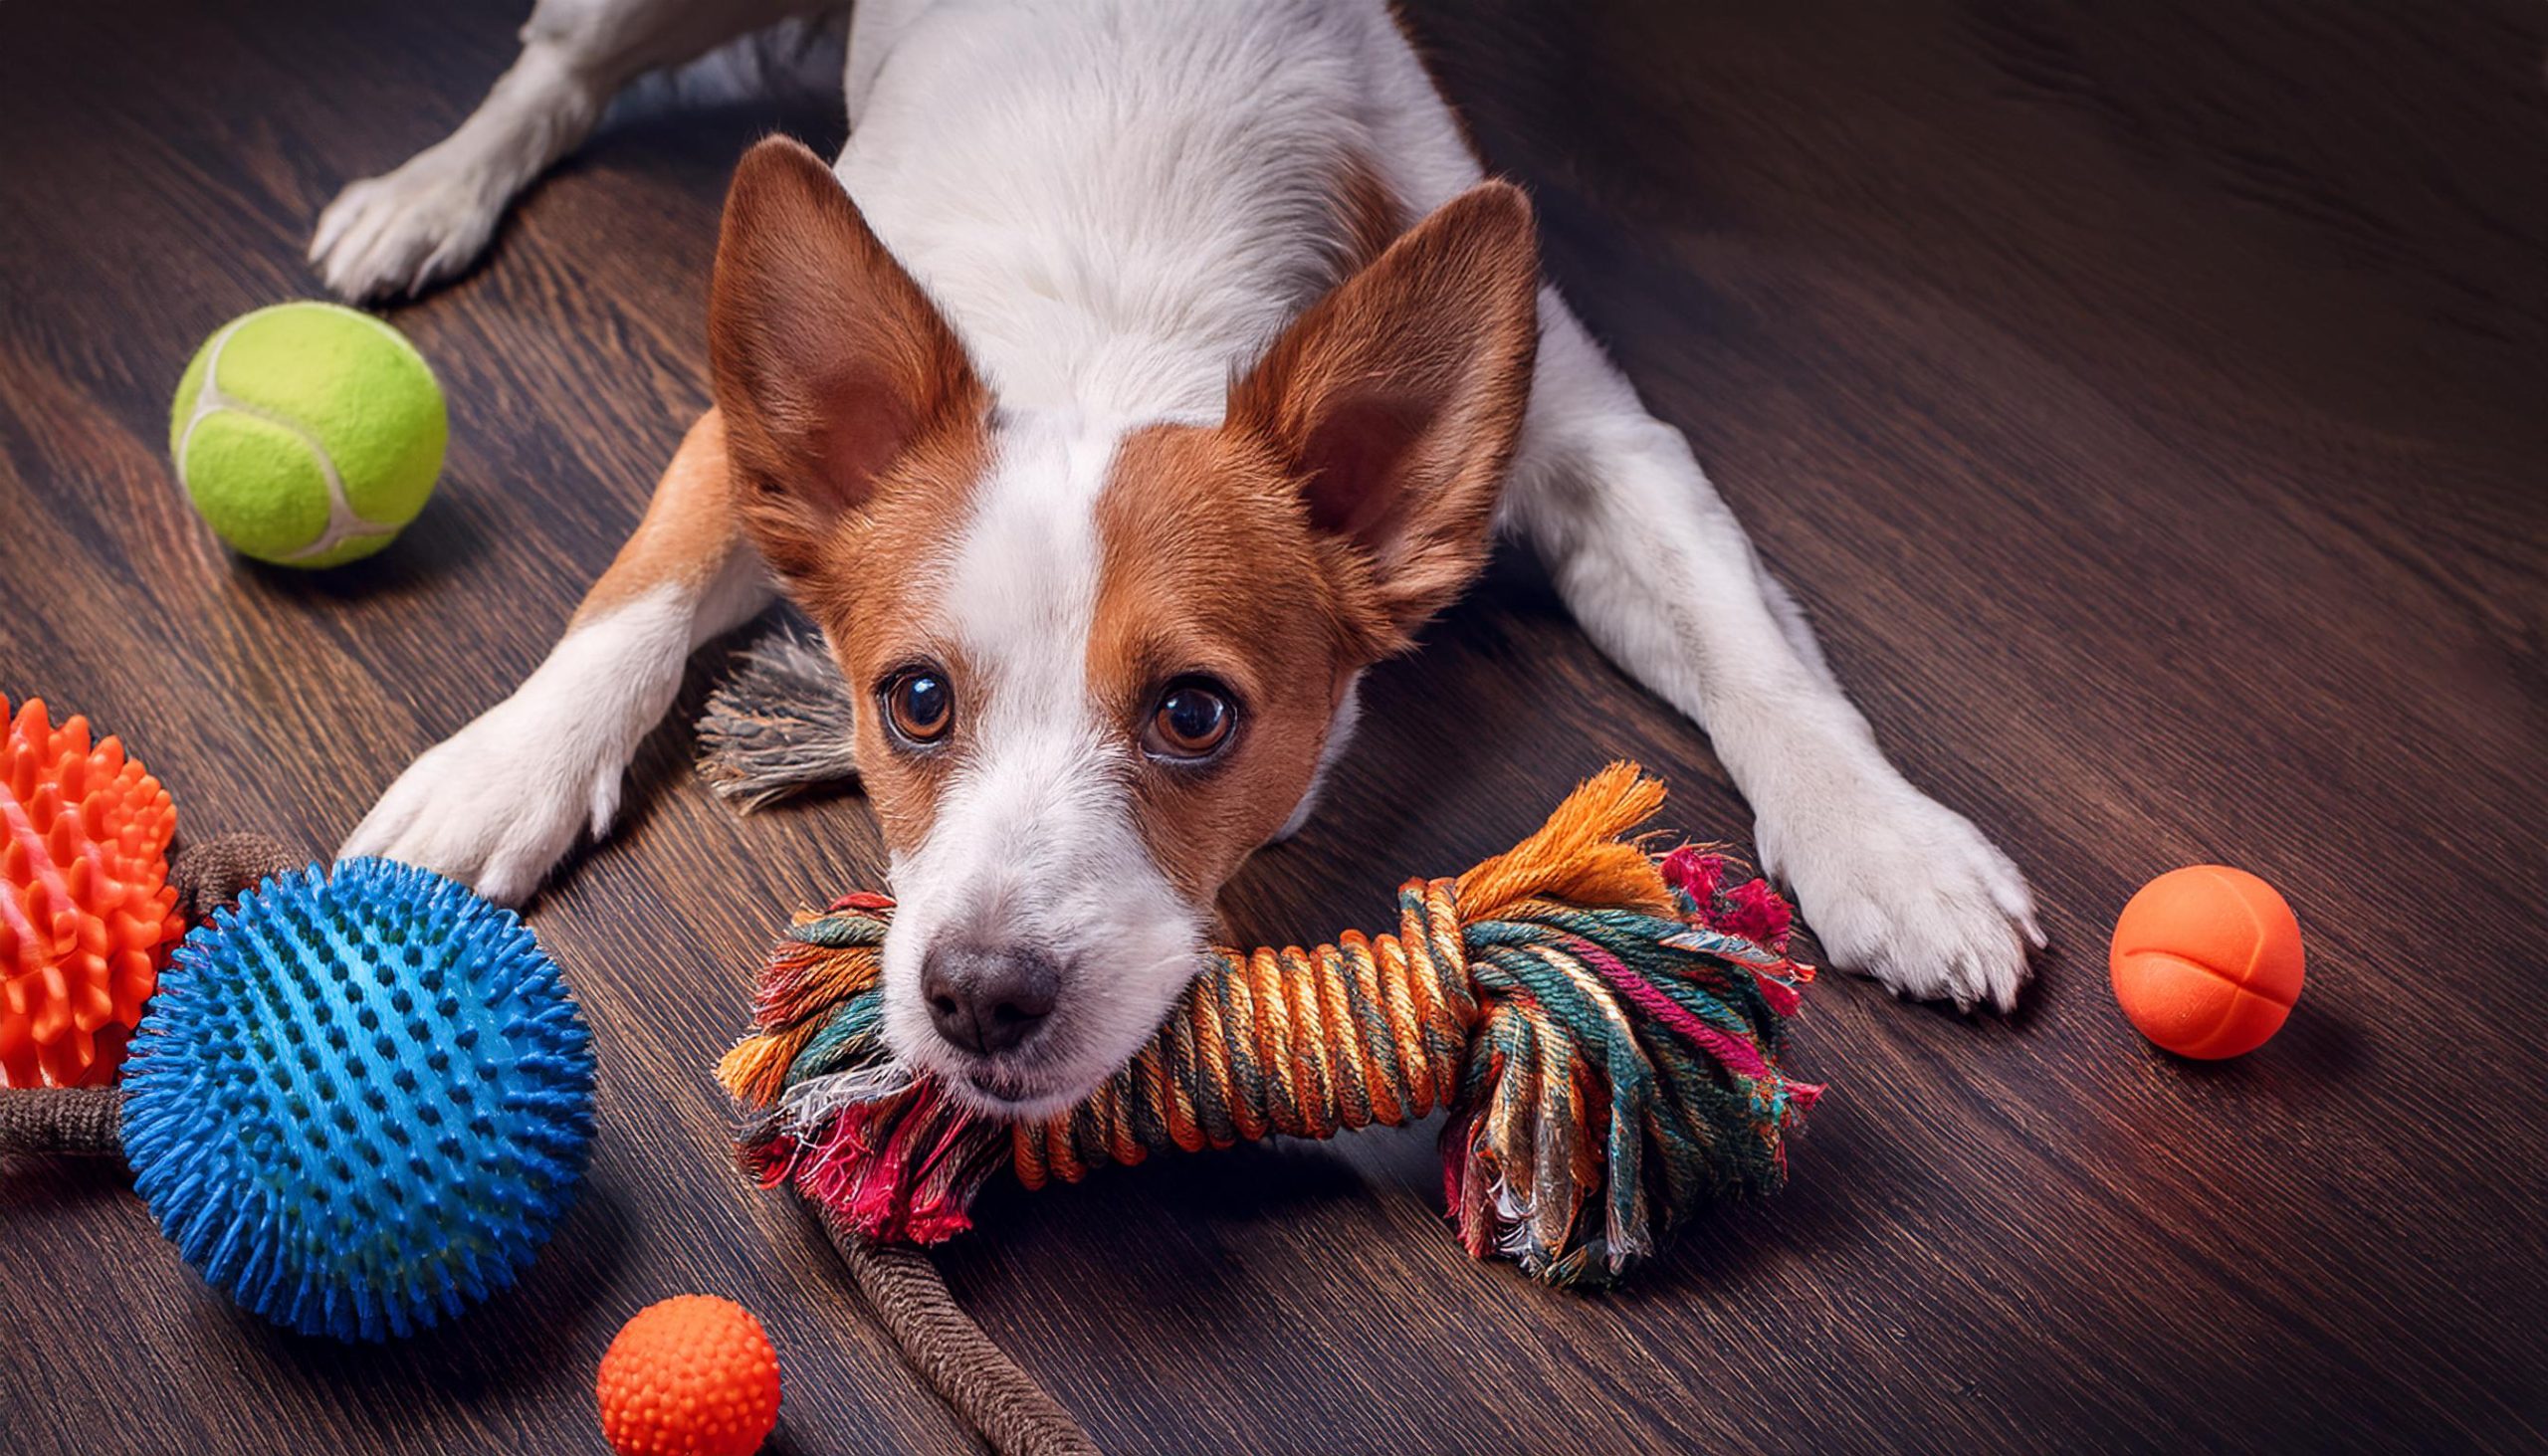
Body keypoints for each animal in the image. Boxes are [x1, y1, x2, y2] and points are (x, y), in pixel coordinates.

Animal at [323, 0, 2027, 1117]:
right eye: (913, 700)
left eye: (1196, 714)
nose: (978, 995)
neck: (1122, 311)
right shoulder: (732, 446)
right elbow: (637, 593)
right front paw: (501, 768)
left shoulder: (1603, 443)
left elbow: (1754, 654)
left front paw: (1891, 841)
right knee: (559, 62)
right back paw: (427, 190)